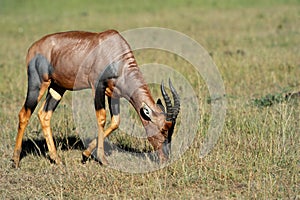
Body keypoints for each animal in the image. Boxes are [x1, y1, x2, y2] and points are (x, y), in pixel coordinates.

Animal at [12, 29, 180, 167]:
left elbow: (115, 122)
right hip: (38, 83)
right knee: (24, 114)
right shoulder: (97, 87)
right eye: (163, 129)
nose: (166, 159)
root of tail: (33, 48)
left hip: (57, 88)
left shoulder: (114, 94)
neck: (114, 50)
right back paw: (15, 160)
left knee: (44, 115)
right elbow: (101, 118)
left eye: (171, 130)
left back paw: (57, 159)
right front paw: (102, 159)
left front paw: (85, 154)